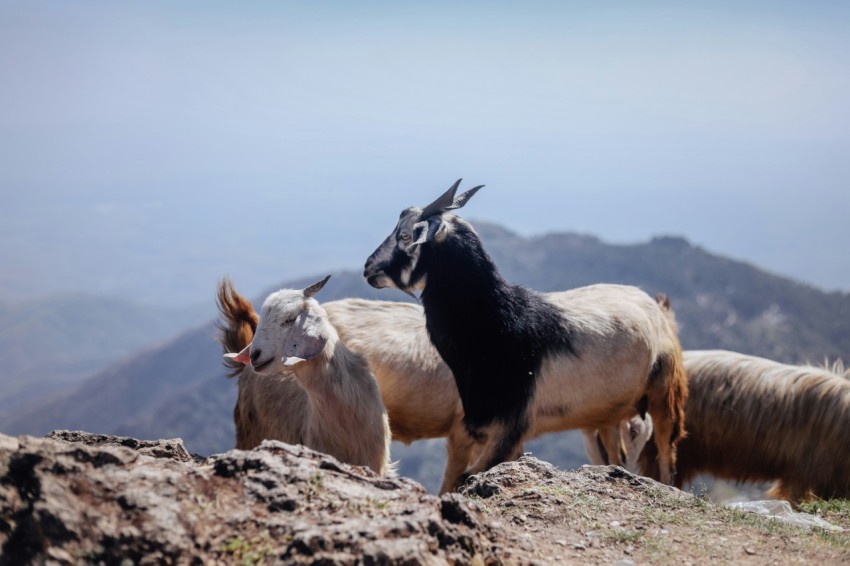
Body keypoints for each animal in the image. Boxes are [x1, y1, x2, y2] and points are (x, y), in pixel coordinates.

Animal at [362, 180, 684, 486]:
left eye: (405, 236)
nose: (368, 267)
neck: (499, 323)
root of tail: (653, 305)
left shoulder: (510, 426)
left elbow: (468, 476)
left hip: (664, 394)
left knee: (667, 454)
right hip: (609, 415)